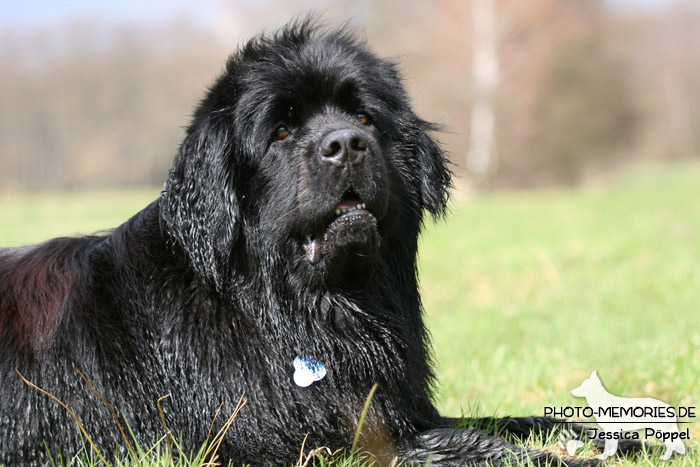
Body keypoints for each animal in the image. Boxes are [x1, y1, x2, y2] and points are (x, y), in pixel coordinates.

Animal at [0, 20, 596, 466]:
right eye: (281, 131)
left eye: (364, 117)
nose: (346, 144)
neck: (299, 310)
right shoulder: (303, 441)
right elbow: (469, 447)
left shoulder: (398, 409)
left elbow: (499, 420)